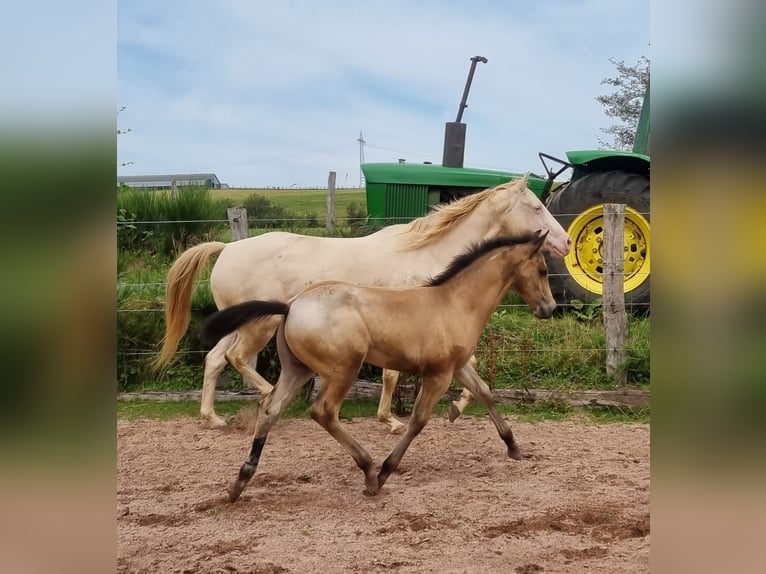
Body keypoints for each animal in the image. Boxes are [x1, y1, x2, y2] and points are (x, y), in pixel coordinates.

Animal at [154, 176, 568, 432]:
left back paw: (212, 418)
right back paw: (267, 396)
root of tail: (227, 248)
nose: (563, 242)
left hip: (238, 322)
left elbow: (468, 367)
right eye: (535, 207)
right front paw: (392, 420)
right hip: (261, 326)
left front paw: (452, 409)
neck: (429, 256)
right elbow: (392, 376)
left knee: (214, 360)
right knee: (237, 359)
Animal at [201, 232, 556, 502]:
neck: (454, 303)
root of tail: (290, 306)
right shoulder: (438, 374)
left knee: (271, 410)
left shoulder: (457, 367)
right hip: (343, 370)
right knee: (323, 412)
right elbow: (418, 420)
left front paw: (514, 447)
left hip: (297, 370)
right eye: (542, 269)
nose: (549, 309)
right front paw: (387, 470)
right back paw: (370, 471)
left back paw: (240, 482)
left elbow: (484, 393)